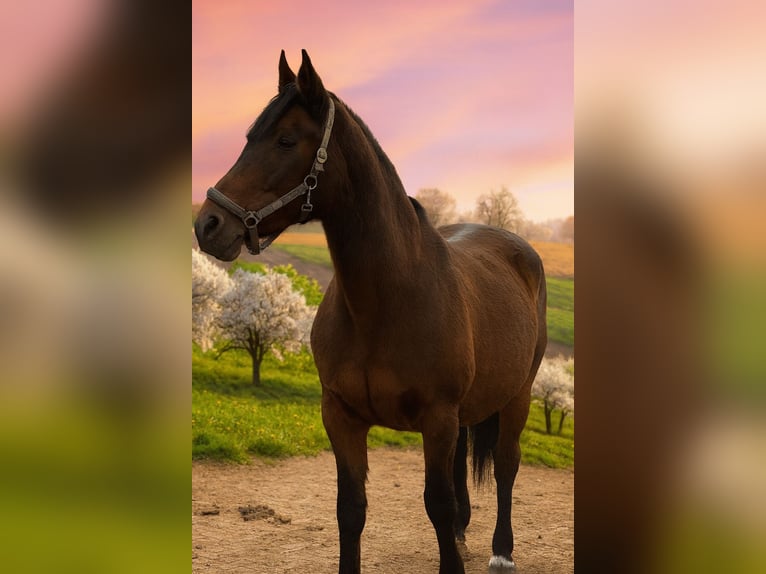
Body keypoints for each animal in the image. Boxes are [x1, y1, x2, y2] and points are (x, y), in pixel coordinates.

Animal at [194, 50, 547, 574]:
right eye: (248, 139)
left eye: (285, 139)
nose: (209, 225)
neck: (383, 302)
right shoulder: (341, 416)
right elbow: (351, 509)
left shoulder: (436, 419)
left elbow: (437, 504)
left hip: (516, 397)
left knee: (506, 466)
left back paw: (501, 552)